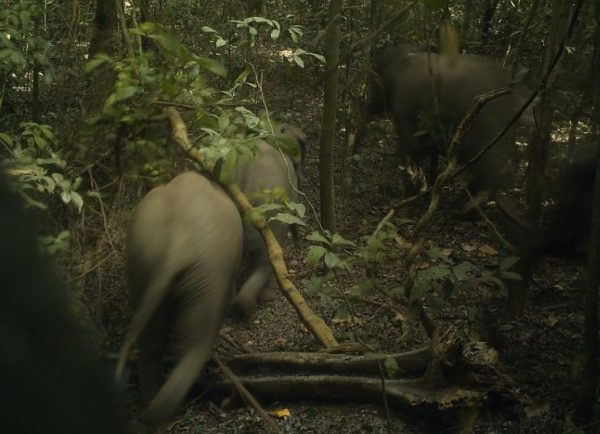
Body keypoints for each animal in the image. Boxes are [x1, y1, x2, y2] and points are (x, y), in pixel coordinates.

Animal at [116, 171, 243, 426]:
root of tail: (178, 243)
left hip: (142, 261)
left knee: (151, 340)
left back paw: (148, 402)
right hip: (208, 273)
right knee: (197, 341)